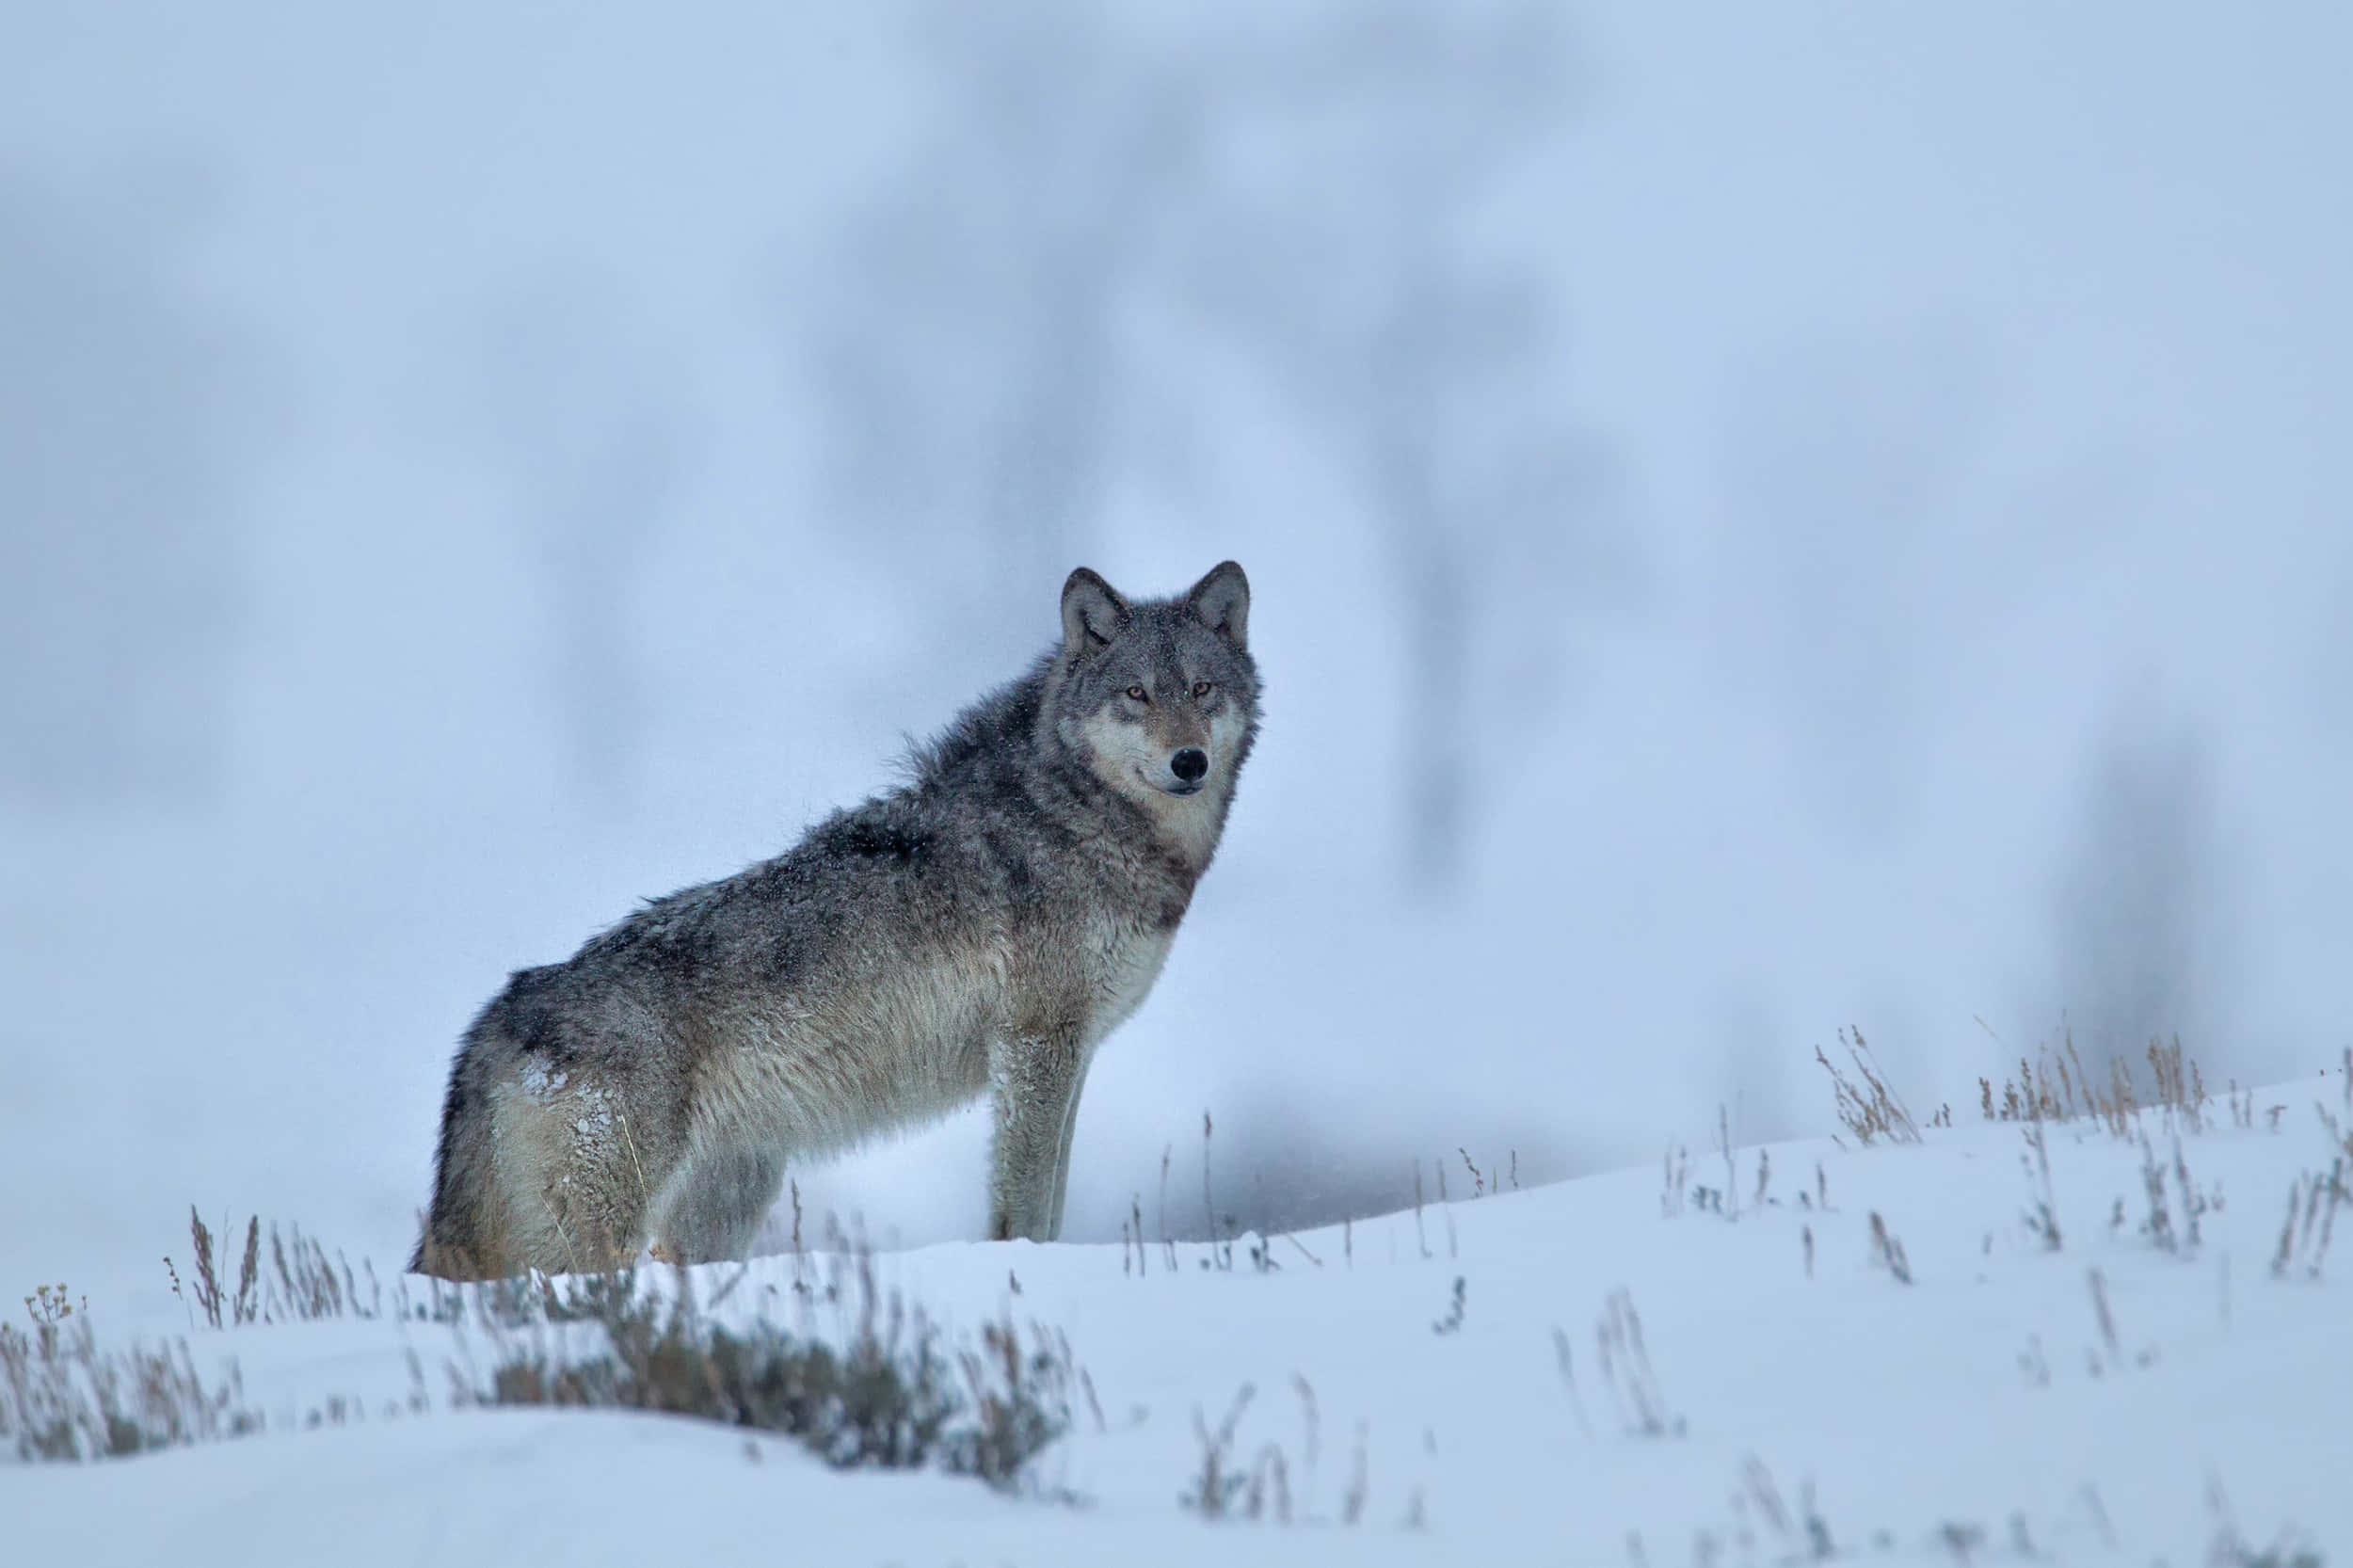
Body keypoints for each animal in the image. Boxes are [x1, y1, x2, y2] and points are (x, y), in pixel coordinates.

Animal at [412, 561, 1258, 1279]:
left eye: (1203, 688)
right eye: (1137, 694)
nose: (1188, 762)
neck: (1080, 818)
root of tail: (498, 1016)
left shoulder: (1073, 1054)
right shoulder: (1036, 1047)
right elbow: (1025, 1208)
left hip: (722, 1202)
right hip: (587, 1236)